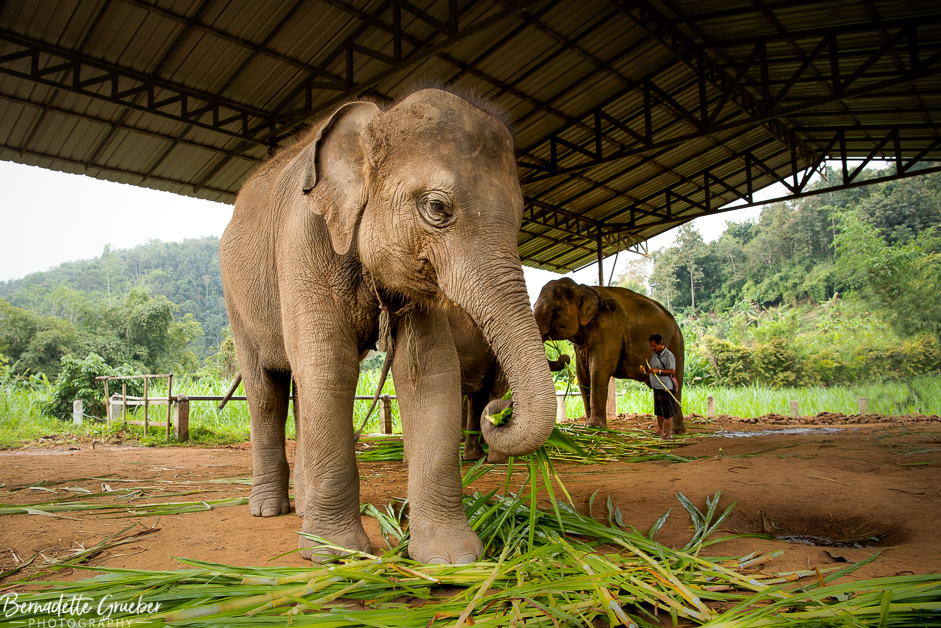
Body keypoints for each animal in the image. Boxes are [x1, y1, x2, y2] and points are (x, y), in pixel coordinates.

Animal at [220, 87, 557, 565]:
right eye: (436, 208)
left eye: (520, 217)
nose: (500, 412)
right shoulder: (301, 243)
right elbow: (331, 369)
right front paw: (334, 555)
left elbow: (430, 373)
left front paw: (453, 559)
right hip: (236, 300)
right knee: (268, 391)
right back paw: (269, 510)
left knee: (303, 390)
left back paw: (303, 510)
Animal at [533, 278, 686, 433]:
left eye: (555, 309)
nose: (564, 358)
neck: (583, 288)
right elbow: (582, 374)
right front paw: (586, 425)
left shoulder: (608, 328)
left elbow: (599, 369)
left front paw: (594, 426)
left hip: (676, 345)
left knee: (675, 385)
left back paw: (676, 431)